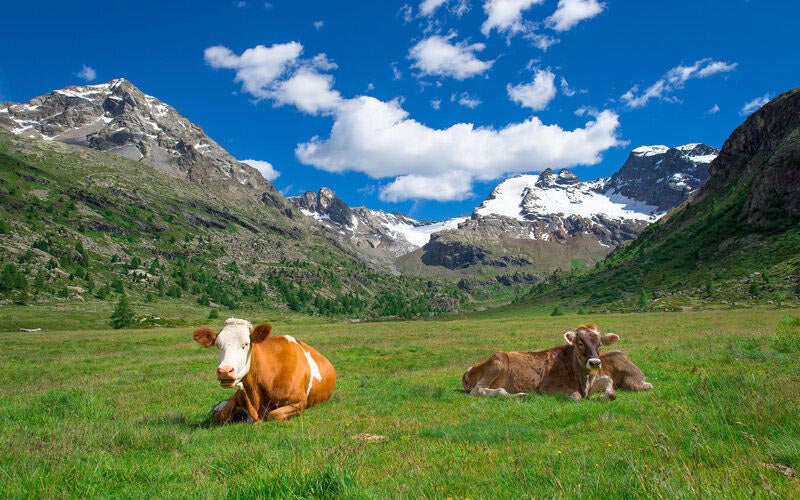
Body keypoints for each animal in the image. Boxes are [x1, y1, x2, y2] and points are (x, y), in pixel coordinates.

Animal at [192, 316, 336, 422]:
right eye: (217, 345)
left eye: (246, 344)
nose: (225, 371)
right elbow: (221, 415)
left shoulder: (299, 402)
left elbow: (273, 414)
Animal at [460, 324, 652, 402]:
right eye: (580, 342)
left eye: (600, 344)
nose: (595, 362)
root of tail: (469, 369)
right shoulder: (547, 386)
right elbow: (576, 396)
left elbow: (608, 382)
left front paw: (604, 395)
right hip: (498, 361)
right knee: (480, 390)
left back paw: (521, 395)